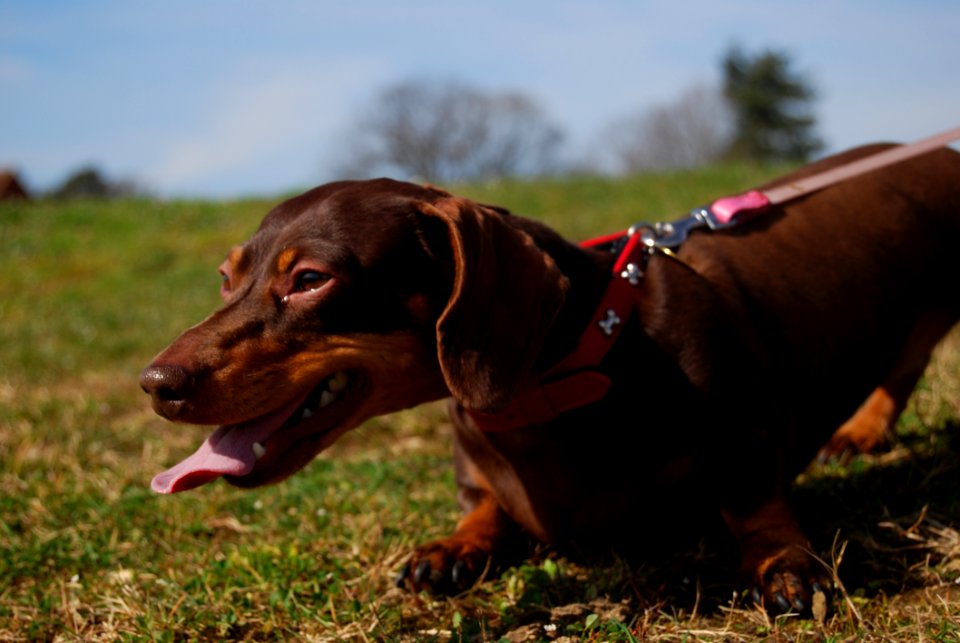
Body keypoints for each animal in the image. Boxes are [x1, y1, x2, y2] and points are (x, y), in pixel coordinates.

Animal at [139, 143, 960, 616]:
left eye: (310, 279)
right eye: (225, 278)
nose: (156, 383)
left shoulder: (746, 436)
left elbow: (755, 502)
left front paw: (786, 563)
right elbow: (485, 510)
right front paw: (453, 546)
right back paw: (864, 429)